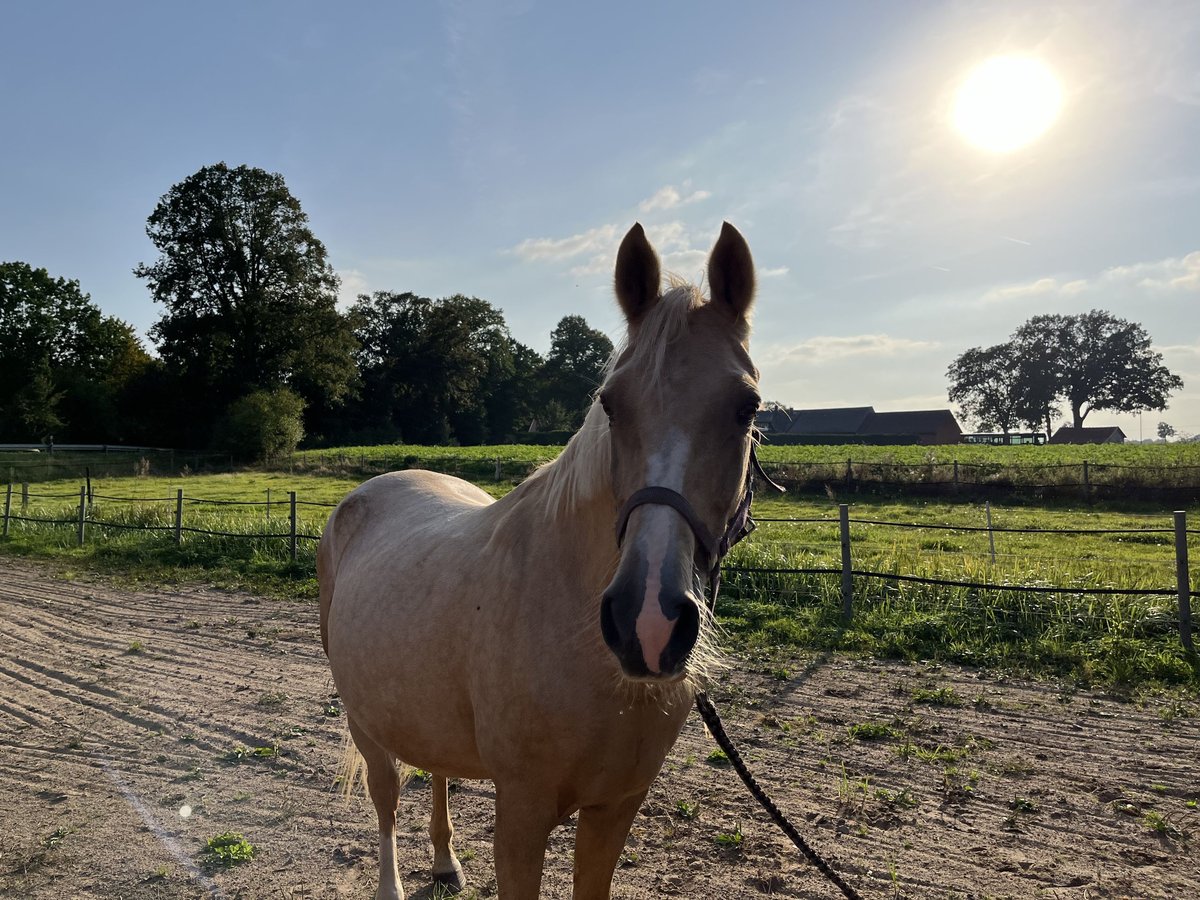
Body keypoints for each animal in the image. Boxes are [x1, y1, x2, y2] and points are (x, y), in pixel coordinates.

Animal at [321, 222, 758, 897]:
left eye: (746, 408)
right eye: (610, 404)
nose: (648, 623)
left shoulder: (615, 809)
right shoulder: (521, 816)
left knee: (436, 771)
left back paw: (445, 861)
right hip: (366, 722)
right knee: (386, 795)